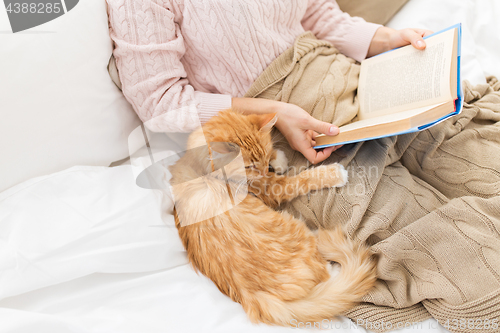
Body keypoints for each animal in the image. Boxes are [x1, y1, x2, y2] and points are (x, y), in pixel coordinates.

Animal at [168, 109, 376, 324]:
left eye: (262, 158)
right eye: (249, 166)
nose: (262, 171)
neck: (205, 167)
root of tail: (255, 297)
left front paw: (278, 159)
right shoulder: (271, 189)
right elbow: (300, 180)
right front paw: (333, 173)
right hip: (298, 231)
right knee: (324, 272)